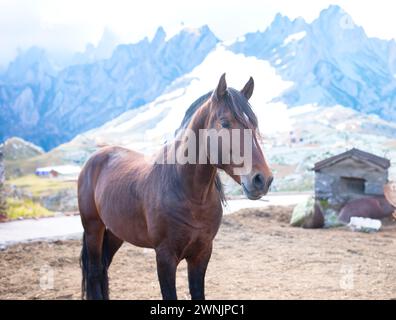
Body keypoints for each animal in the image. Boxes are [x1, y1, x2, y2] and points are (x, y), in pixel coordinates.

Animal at [79, 74, 274, 298]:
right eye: (224, 123)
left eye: (254, 124)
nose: (262, 179)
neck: (189, 194)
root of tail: (95, 158)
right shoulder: (165, 257)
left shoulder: (202, 254)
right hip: (94, 229)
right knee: (95, 272)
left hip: (114, 233)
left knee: (104, 268)